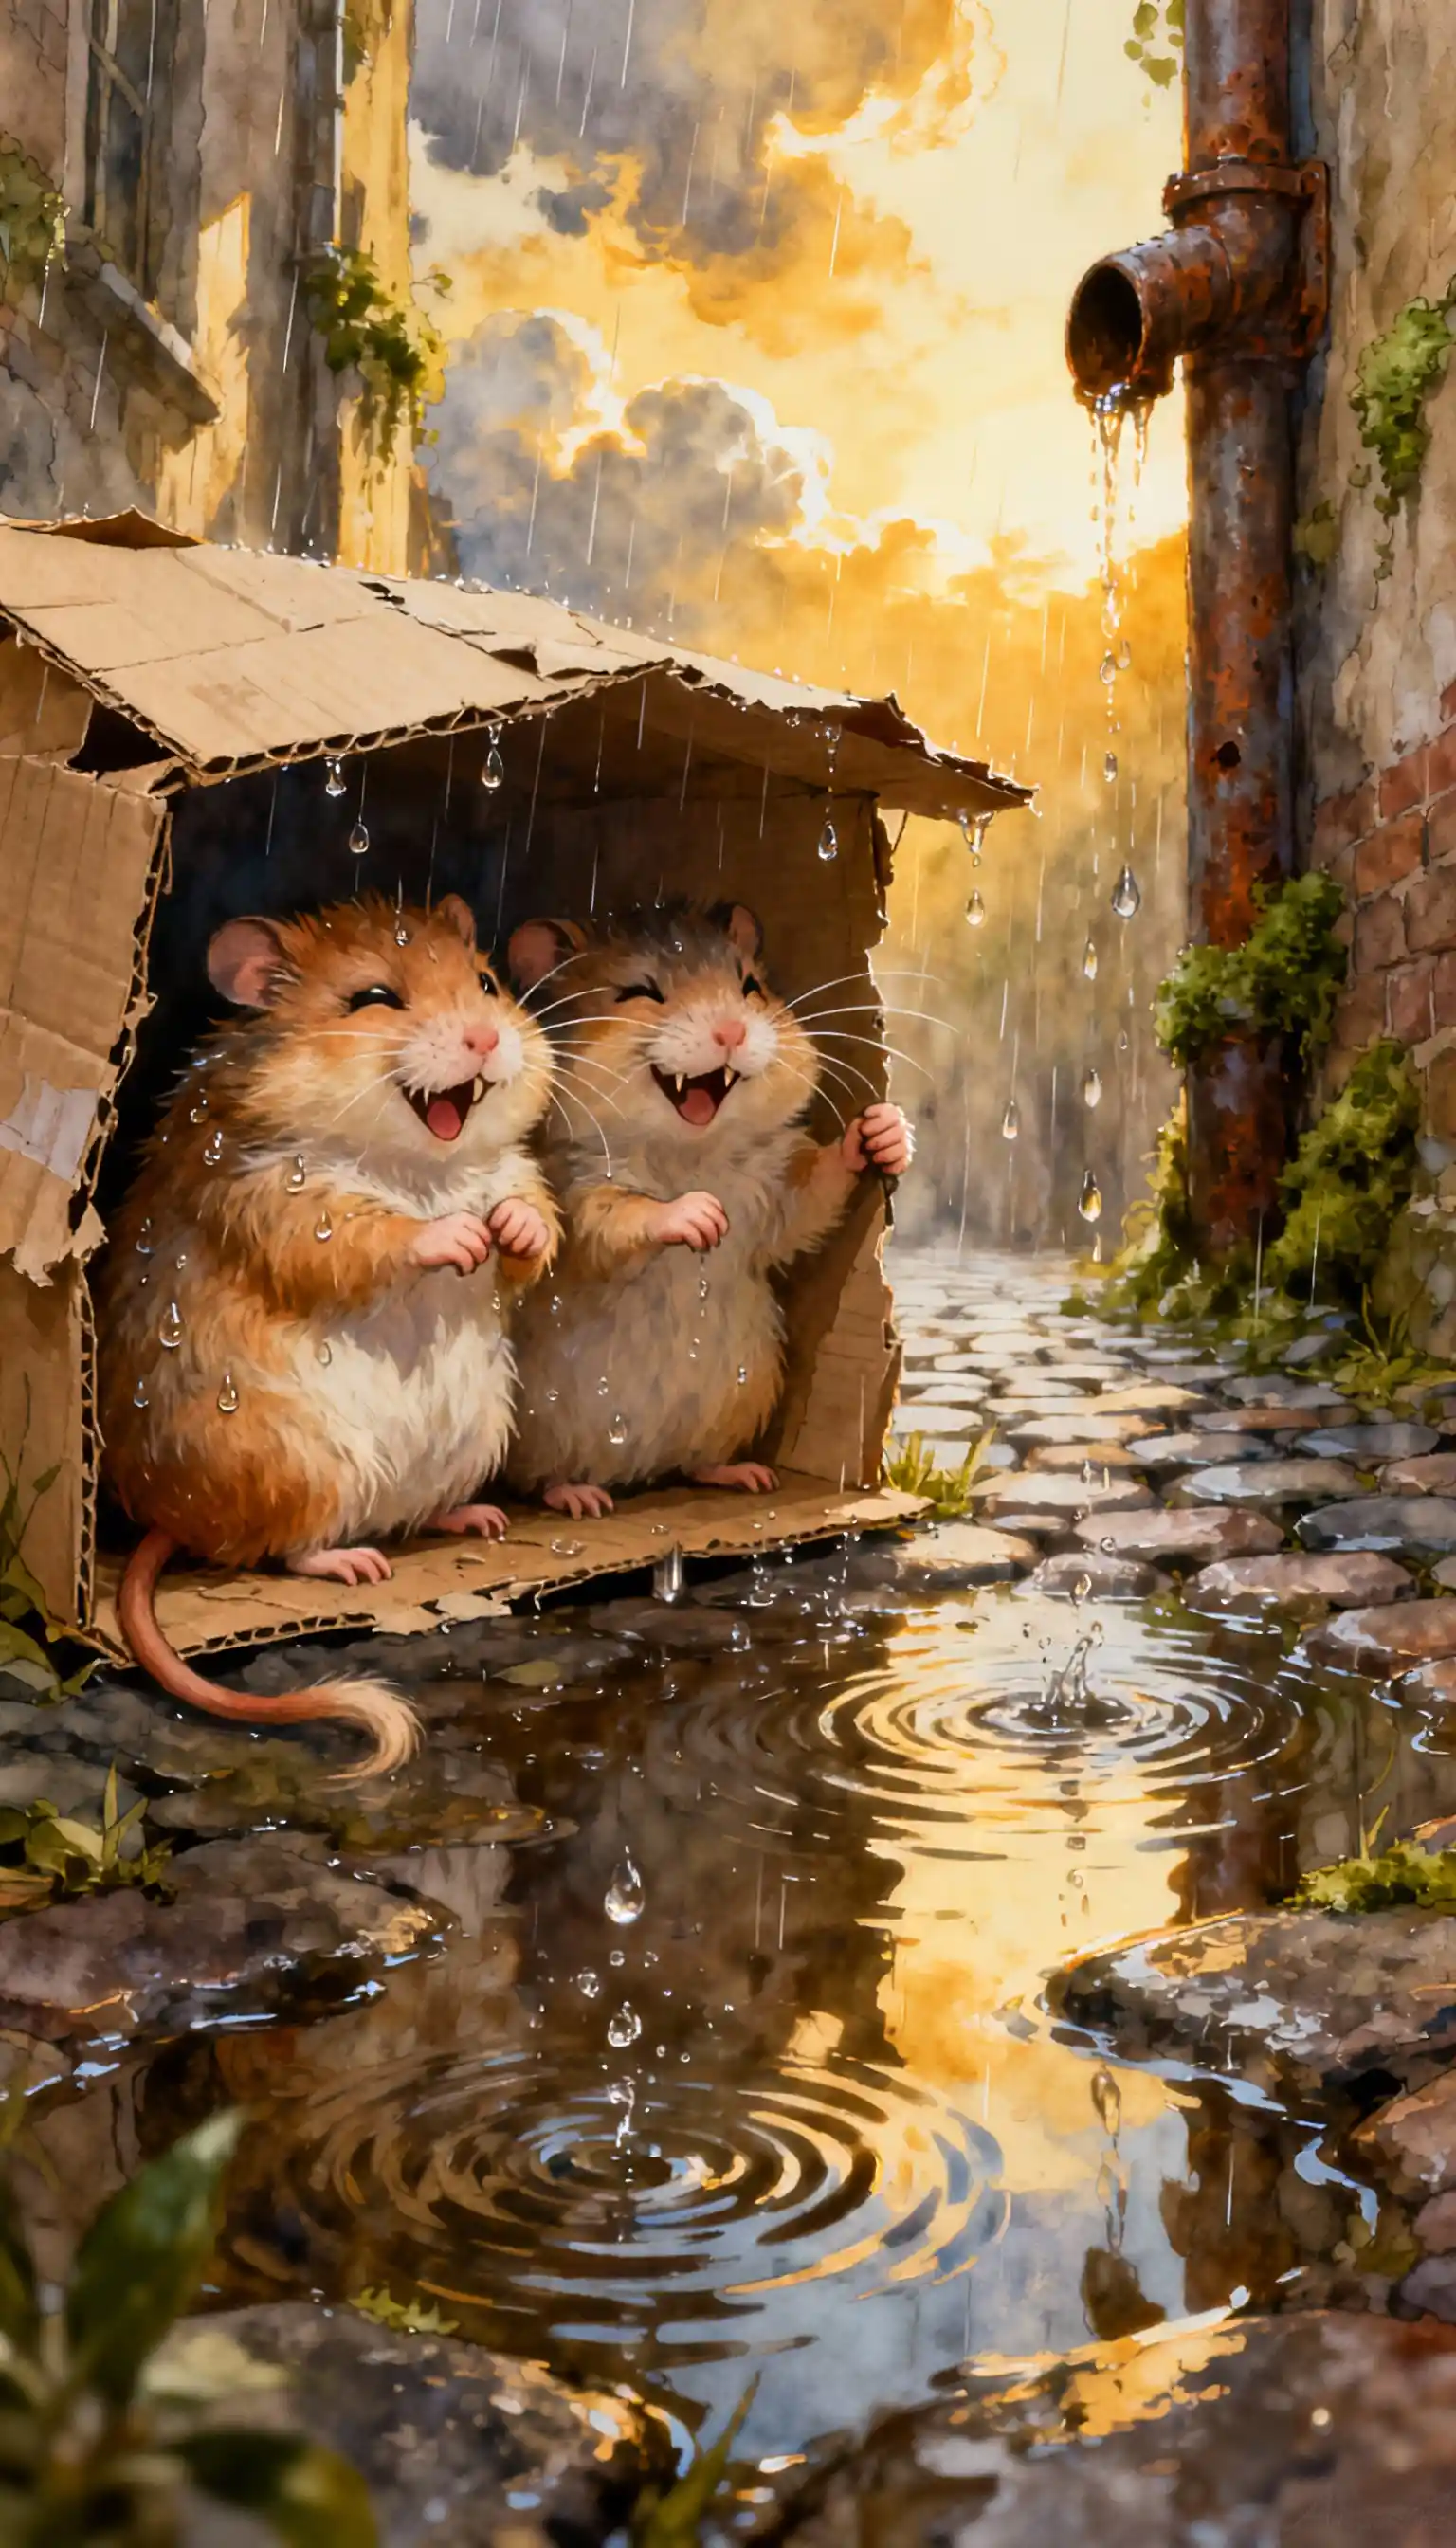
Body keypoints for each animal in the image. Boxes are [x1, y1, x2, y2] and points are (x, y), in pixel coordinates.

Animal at [97, 891, 559, 1778]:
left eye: (487, 982)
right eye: (373, 999)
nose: (487, 1039)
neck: (422, 1167)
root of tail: (173, 1514)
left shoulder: (517, 1170)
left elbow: (534, 1222)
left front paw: (504, 1231)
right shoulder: (284, 1202)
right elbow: (371, 1235)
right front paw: (457, 1238)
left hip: (468, 1440)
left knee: (406, 1515)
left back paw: (476, 1520)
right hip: (307, 1461)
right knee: (288, 1547)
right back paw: (353, 1563)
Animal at [503, 899, 911, 1517]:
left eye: (750, 986)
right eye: (638, 992)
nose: (731, 1030)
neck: (690, 1149)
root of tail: (636, 1471)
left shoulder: (774, 1194)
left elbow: (819, 1181)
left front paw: (884, 1131)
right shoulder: (578, 1199)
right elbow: (627, 1215)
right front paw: (703, 1219)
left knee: (697, 1464)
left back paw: (750, 1477)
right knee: (541, 1480)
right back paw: (583, 1499)